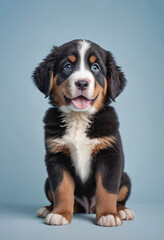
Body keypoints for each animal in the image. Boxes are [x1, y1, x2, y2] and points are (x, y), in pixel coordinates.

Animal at [32, 39, 135, 227]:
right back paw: (49, 209)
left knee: (120, 198)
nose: (81, 83)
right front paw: (60, 214)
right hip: (47, 182)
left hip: (125, 179)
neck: (79, 118)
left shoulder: (110, 156)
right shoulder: (56, 157)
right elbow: (62, 189)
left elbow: (107, 190)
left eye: (95, 67)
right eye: (67, 66)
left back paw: (122, 211)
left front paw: (108, 215)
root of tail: (88, 208)